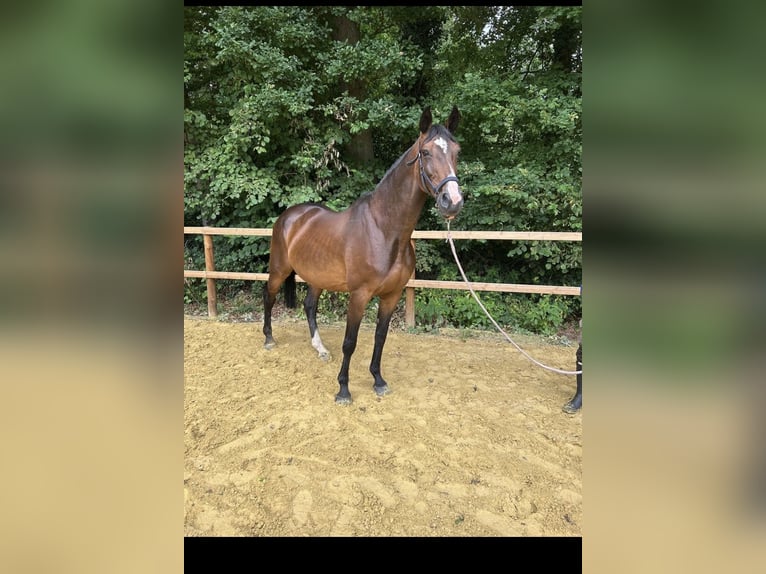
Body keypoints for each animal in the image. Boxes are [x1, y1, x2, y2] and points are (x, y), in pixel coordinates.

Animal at [263, 106, 463, 404]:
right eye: (426, 152)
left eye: (457, 151)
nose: (452, 201)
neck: (383, 230)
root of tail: (290, 216)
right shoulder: (359, 295)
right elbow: (350, 342)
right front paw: (343, 389)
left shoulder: (391, 296)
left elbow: (380, 337)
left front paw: (378, 380)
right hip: (279, 269)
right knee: (269, 296)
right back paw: (268, 339)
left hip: (317, 277)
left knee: (309, 306)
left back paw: (320, 348)